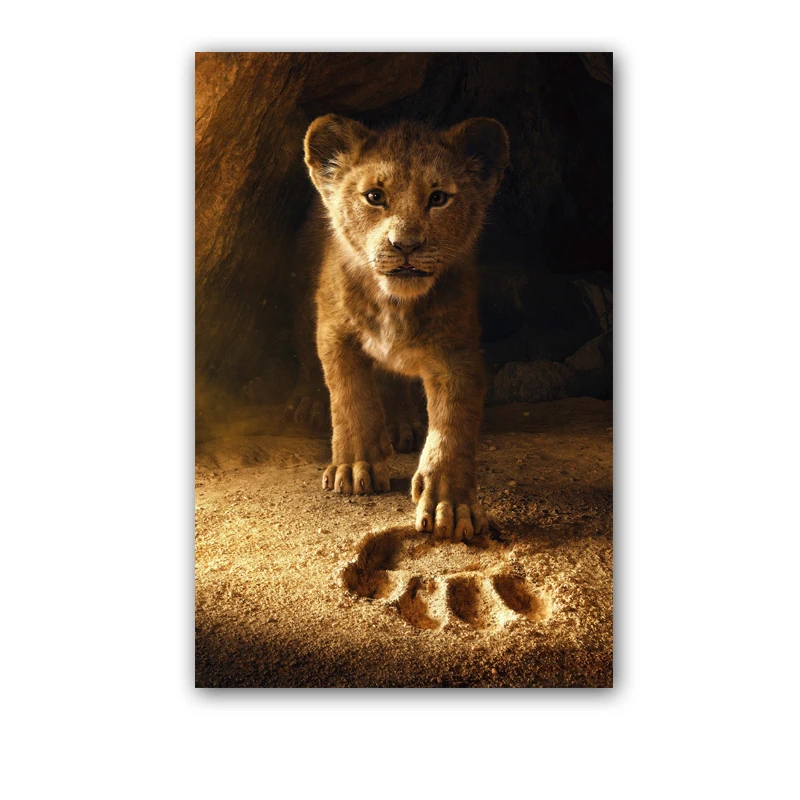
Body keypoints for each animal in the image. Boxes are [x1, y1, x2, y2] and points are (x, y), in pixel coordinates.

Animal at [303, 114, 509, 541]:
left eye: (438, 198)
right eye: (374, 196)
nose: (406, 245)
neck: (395, 303)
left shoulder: (457, 353)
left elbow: (453, 425)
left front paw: (451, 505)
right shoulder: (334, 331)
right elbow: (351, 397)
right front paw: (355, 467)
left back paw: (402, 425)